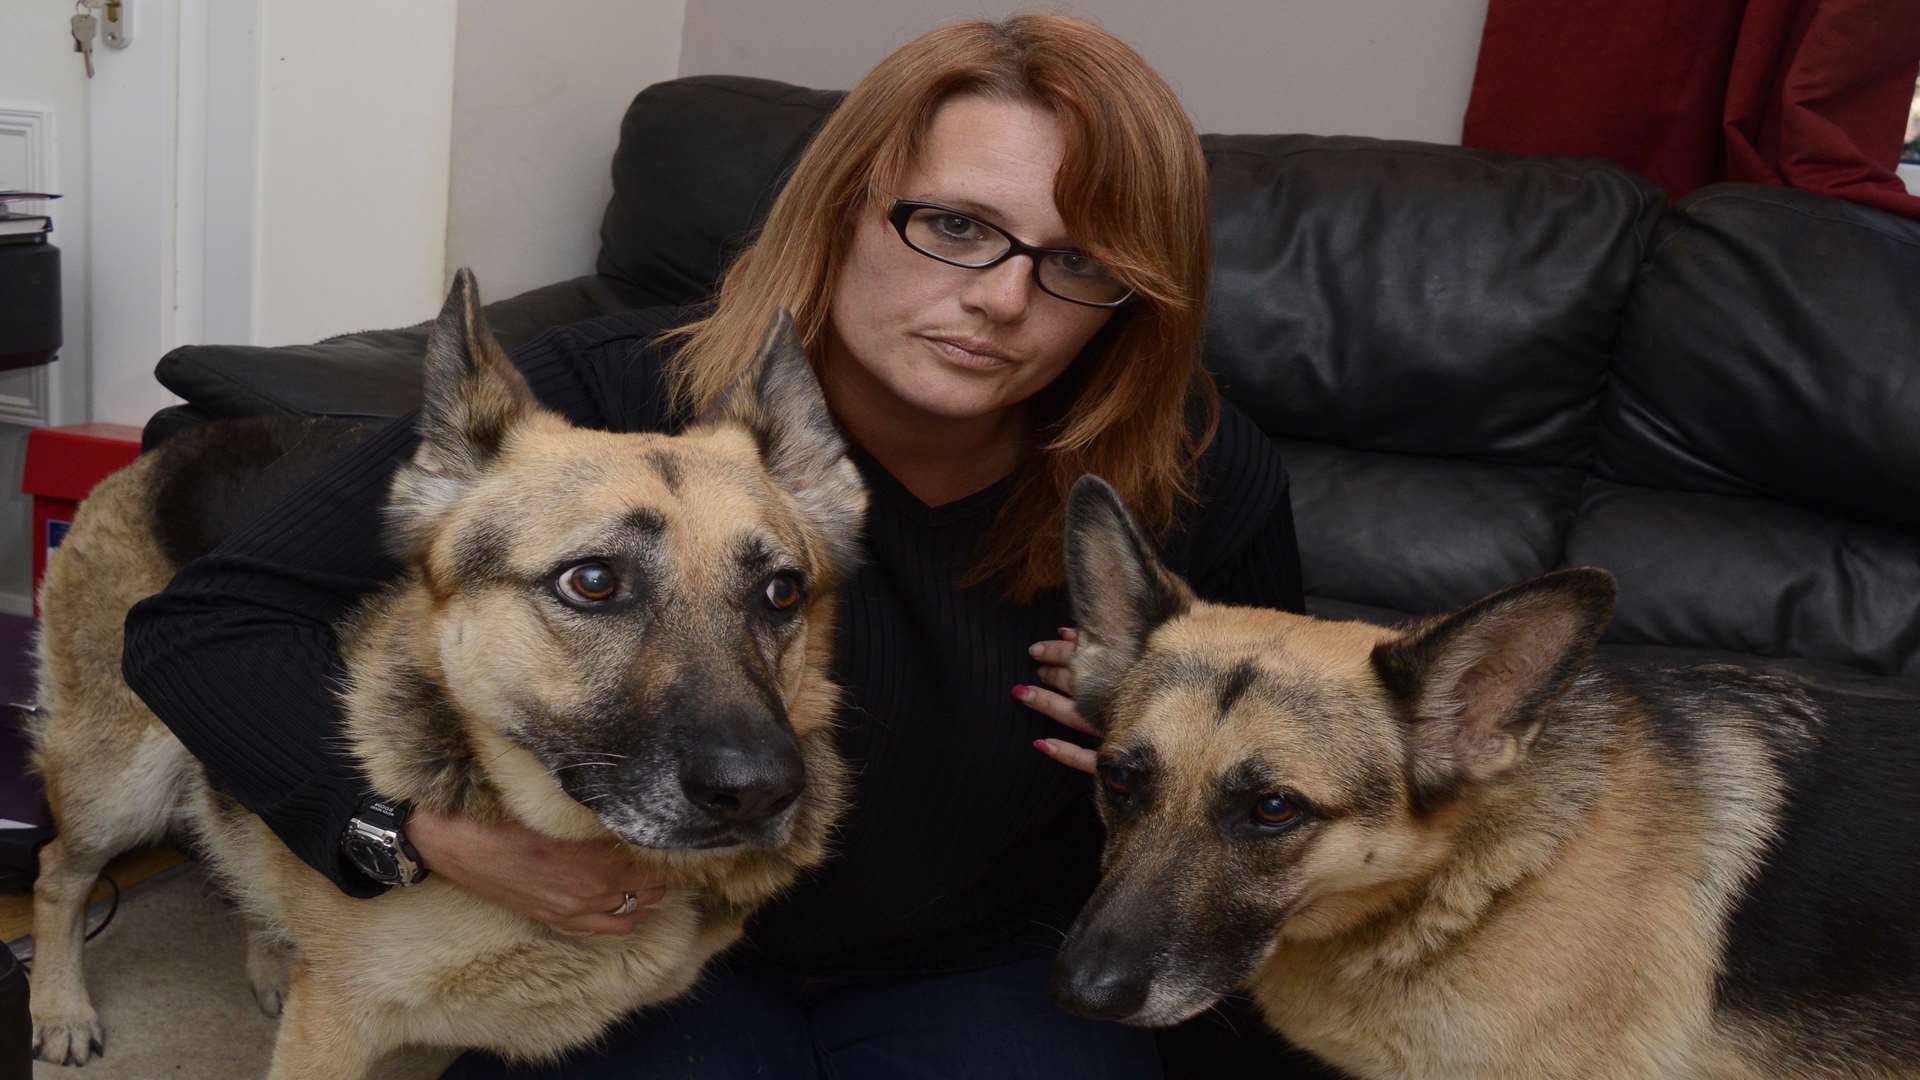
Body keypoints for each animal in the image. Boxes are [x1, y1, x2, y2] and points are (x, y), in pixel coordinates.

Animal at [26, 272, 867, 1068]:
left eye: (782, 592)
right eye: (593, 581)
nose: (759, 792)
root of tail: (179, 443)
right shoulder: (334, 1029)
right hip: (120, 785)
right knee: (55, 870)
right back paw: (60, 1010)